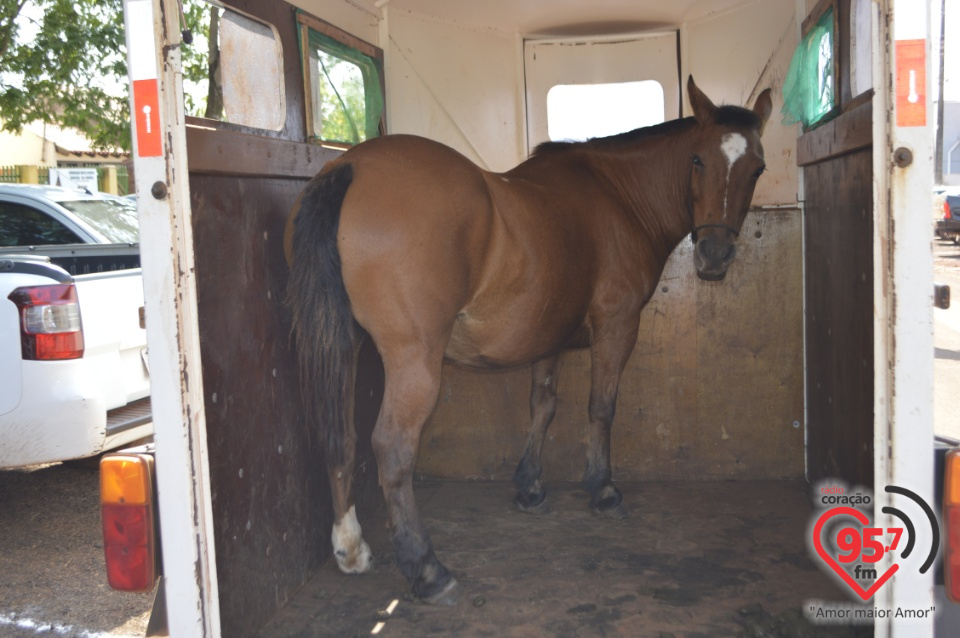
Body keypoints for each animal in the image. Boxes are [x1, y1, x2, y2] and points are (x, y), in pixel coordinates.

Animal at [284, 75, 772, 604]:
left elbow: (543, 405)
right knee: (393, 447)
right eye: (698, 159)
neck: (616, 197)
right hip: (414, 359)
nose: (714, 254)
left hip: (344, 344)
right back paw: (426, 568)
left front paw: (530, 486)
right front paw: (602, 488)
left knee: (341, 435)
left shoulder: (548, 339)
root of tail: (348, 165)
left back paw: (351, 546)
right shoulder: (617, 327)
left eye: (758, 168)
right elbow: (601, 407)